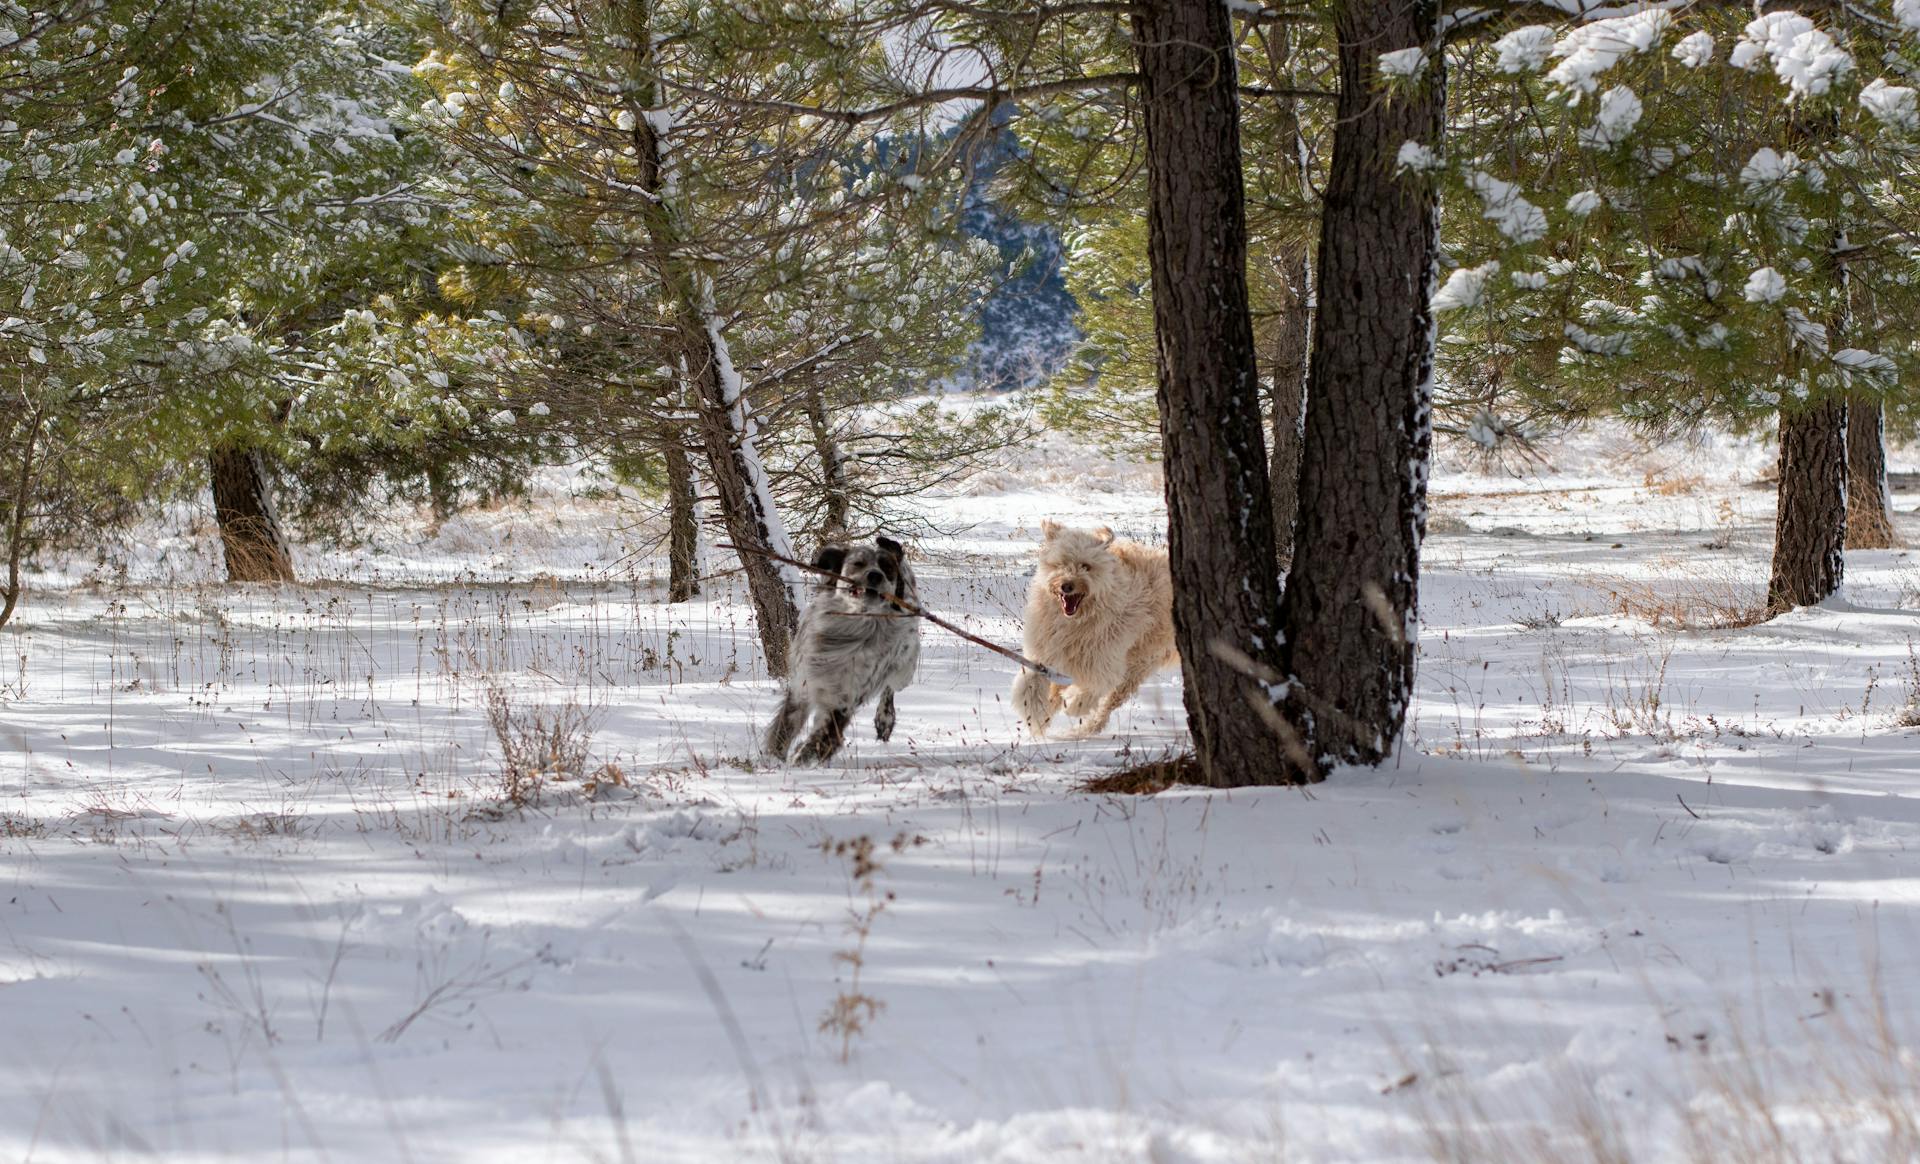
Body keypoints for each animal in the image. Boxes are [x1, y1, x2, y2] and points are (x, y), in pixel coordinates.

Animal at [760, 537, 917, 768]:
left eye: (887, 568)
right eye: (858, 563)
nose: (875, 575)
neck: (852, 626)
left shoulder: (845, 700)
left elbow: (822, 737)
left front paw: (800, 760)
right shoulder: (802, 686)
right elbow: (786, 728)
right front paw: (775, 760)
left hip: (904, 670)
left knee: (889, 689)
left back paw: (884, 719)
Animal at [1013, 522, 1175, 737]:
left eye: (1086, 566)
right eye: (1060, 564)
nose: (1067, 585)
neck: (1075, 621)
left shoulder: (1102, 660)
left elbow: (1092, 686)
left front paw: (1072, 703)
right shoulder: (1043, 657)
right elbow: (1030, 686)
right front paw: (1036, 717)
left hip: (1137, 665)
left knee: (1108, 704)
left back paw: (1084, 729)